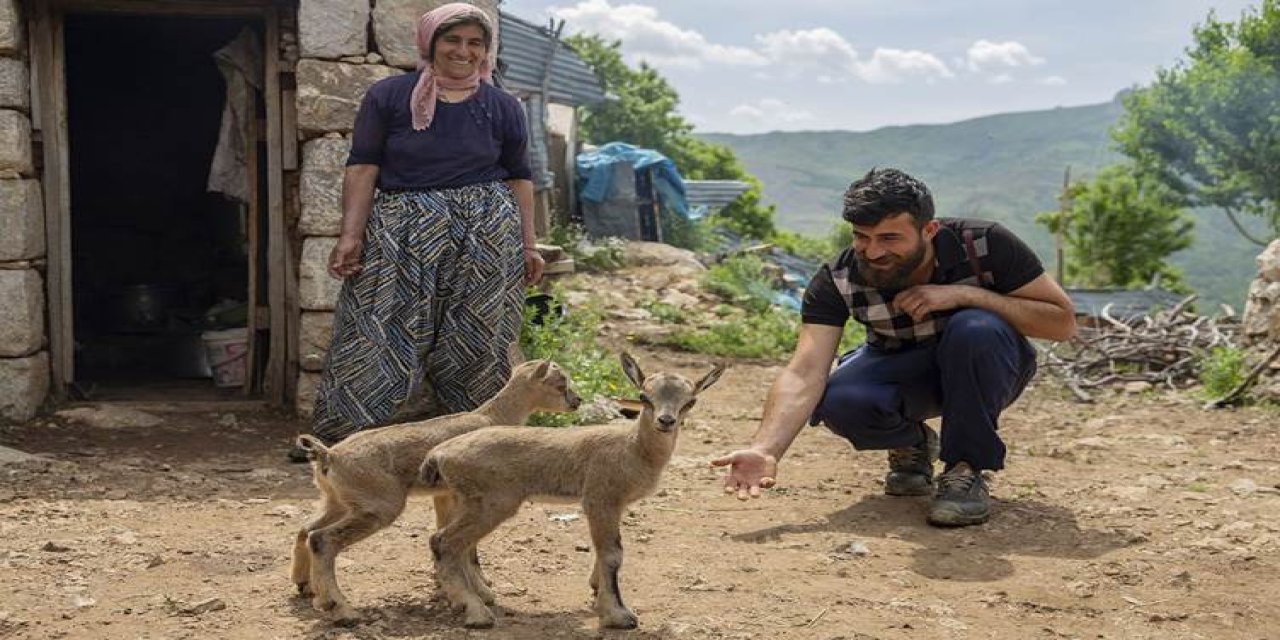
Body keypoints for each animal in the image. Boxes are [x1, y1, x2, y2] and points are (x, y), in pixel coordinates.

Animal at [290, 360, 581, 624]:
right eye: (560, 384)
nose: (577, 401)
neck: (492, 417)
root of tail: (328, 455)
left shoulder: (444, 495)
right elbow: (466, 546)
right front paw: (482, 592)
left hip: (338, 502)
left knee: (305, 529)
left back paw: (306, 585)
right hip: (379, 507)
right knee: (322, 539)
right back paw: (341, 609)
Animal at [419, 353, 721, 627]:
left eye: (690, 401)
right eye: (644, 396)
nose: (666, 421)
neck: (632, 449)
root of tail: (439, 454)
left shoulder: (615, 505)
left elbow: (603, 550)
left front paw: (597, 590)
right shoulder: (600, 498)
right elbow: (612, 554)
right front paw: (619, 615)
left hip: (471, 501)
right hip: (494, 502)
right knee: (444, 541)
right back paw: (476, 612)